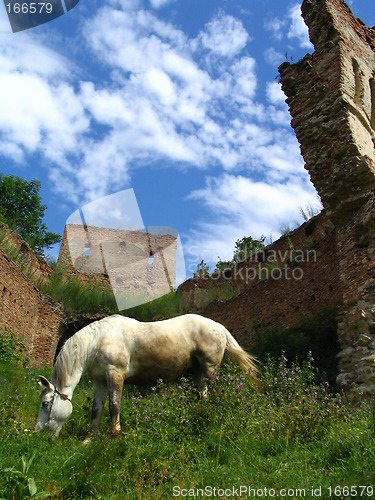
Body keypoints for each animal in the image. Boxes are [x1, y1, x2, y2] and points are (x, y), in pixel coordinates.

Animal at [36, 314, 258, 440]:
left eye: (46, 403)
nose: (39, 432)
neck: (97, 340)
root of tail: (218, 326)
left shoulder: (115, 374)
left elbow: (114, 406)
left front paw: (114, 434)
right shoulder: (99, 381)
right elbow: (96, 411)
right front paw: (89, 439)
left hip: (211, 369)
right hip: (198, 372)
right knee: (203, 394)